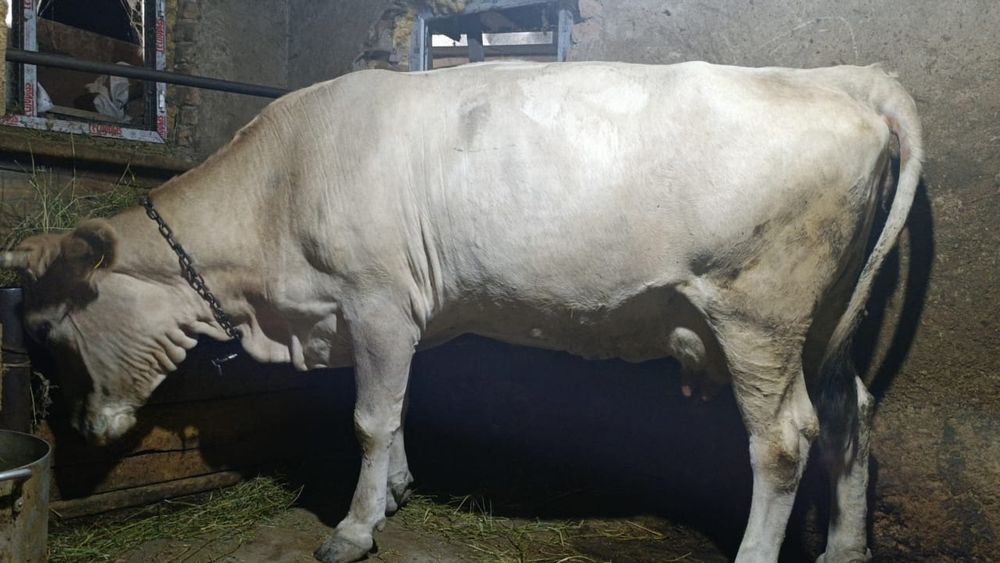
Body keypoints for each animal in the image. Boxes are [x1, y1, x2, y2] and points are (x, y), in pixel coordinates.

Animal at [0, 60, 921, 562]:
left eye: (45, 329)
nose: (77, 427)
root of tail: (847, 80)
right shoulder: (400, 314)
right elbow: (400, 406)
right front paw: (397, 490)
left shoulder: (373, 298)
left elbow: (370, 417)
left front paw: (354, 526)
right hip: (824, 320)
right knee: (850, 413)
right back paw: (845, 544)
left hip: (759, 312)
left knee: (784, 440)